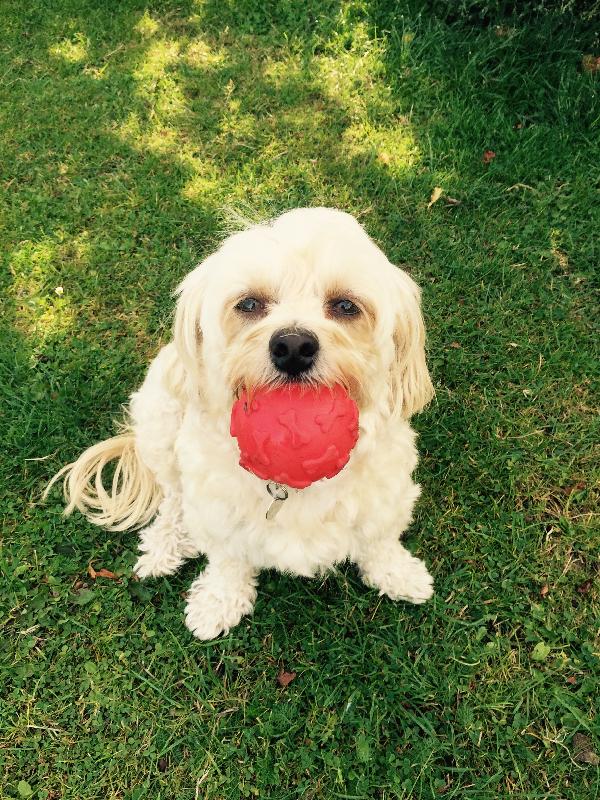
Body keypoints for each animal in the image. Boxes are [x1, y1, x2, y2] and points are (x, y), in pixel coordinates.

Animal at [49, 209, 434, 640]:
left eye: (346, 306)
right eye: (249, 303)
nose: (293, 346)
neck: (290, 484)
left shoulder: (387, 498)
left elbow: (380, 540)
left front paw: (398, 573)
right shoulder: (216, 514)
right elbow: (227, 561)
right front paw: (218, 602)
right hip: (159, 420)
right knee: (173, 497)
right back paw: (164, 546)